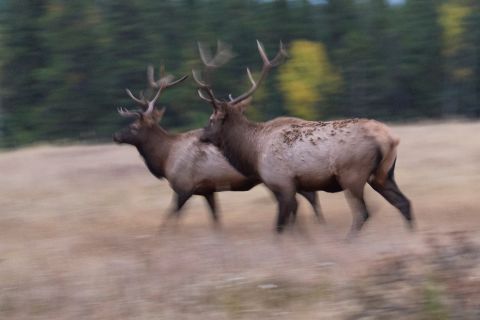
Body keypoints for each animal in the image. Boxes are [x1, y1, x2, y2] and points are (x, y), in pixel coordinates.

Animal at [112, 64, 322, 225]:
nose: (115, 136)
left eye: (134, 127)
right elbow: (215, 218)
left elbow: (171, 216)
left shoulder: (184, 186)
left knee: (308, 198)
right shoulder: (207, 190)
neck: (165, 158)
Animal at [194, 40, 412, 235]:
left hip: (353, 174)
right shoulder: (292, 187)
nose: (200, 136)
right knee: (404, 202)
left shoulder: (282, 183)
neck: (253, 153)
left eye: (211, 119)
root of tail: (390, 139)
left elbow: (279, 226)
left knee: (363, 213)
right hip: (383, 174)